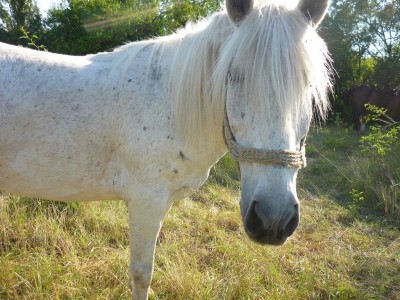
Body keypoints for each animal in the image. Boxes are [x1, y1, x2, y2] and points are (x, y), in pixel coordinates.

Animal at [0, 1, 332, 298]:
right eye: (233, 76)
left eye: (307, 85)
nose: (273, 219)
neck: (171, 104)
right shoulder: (146, 201)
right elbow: (141, 274)